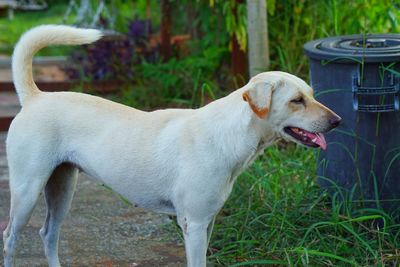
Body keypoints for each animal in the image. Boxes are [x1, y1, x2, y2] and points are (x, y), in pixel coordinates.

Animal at [2, 25, 340, 267]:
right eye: (296, 100)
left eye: (311, 94)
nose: (338, 120)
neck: (227, 134)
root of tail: (35, 97)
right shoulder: (194, 224)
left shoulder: (208, 223)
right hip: (27, 191)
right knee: (9, 238)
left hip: (62, 188)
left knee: (48, 234)